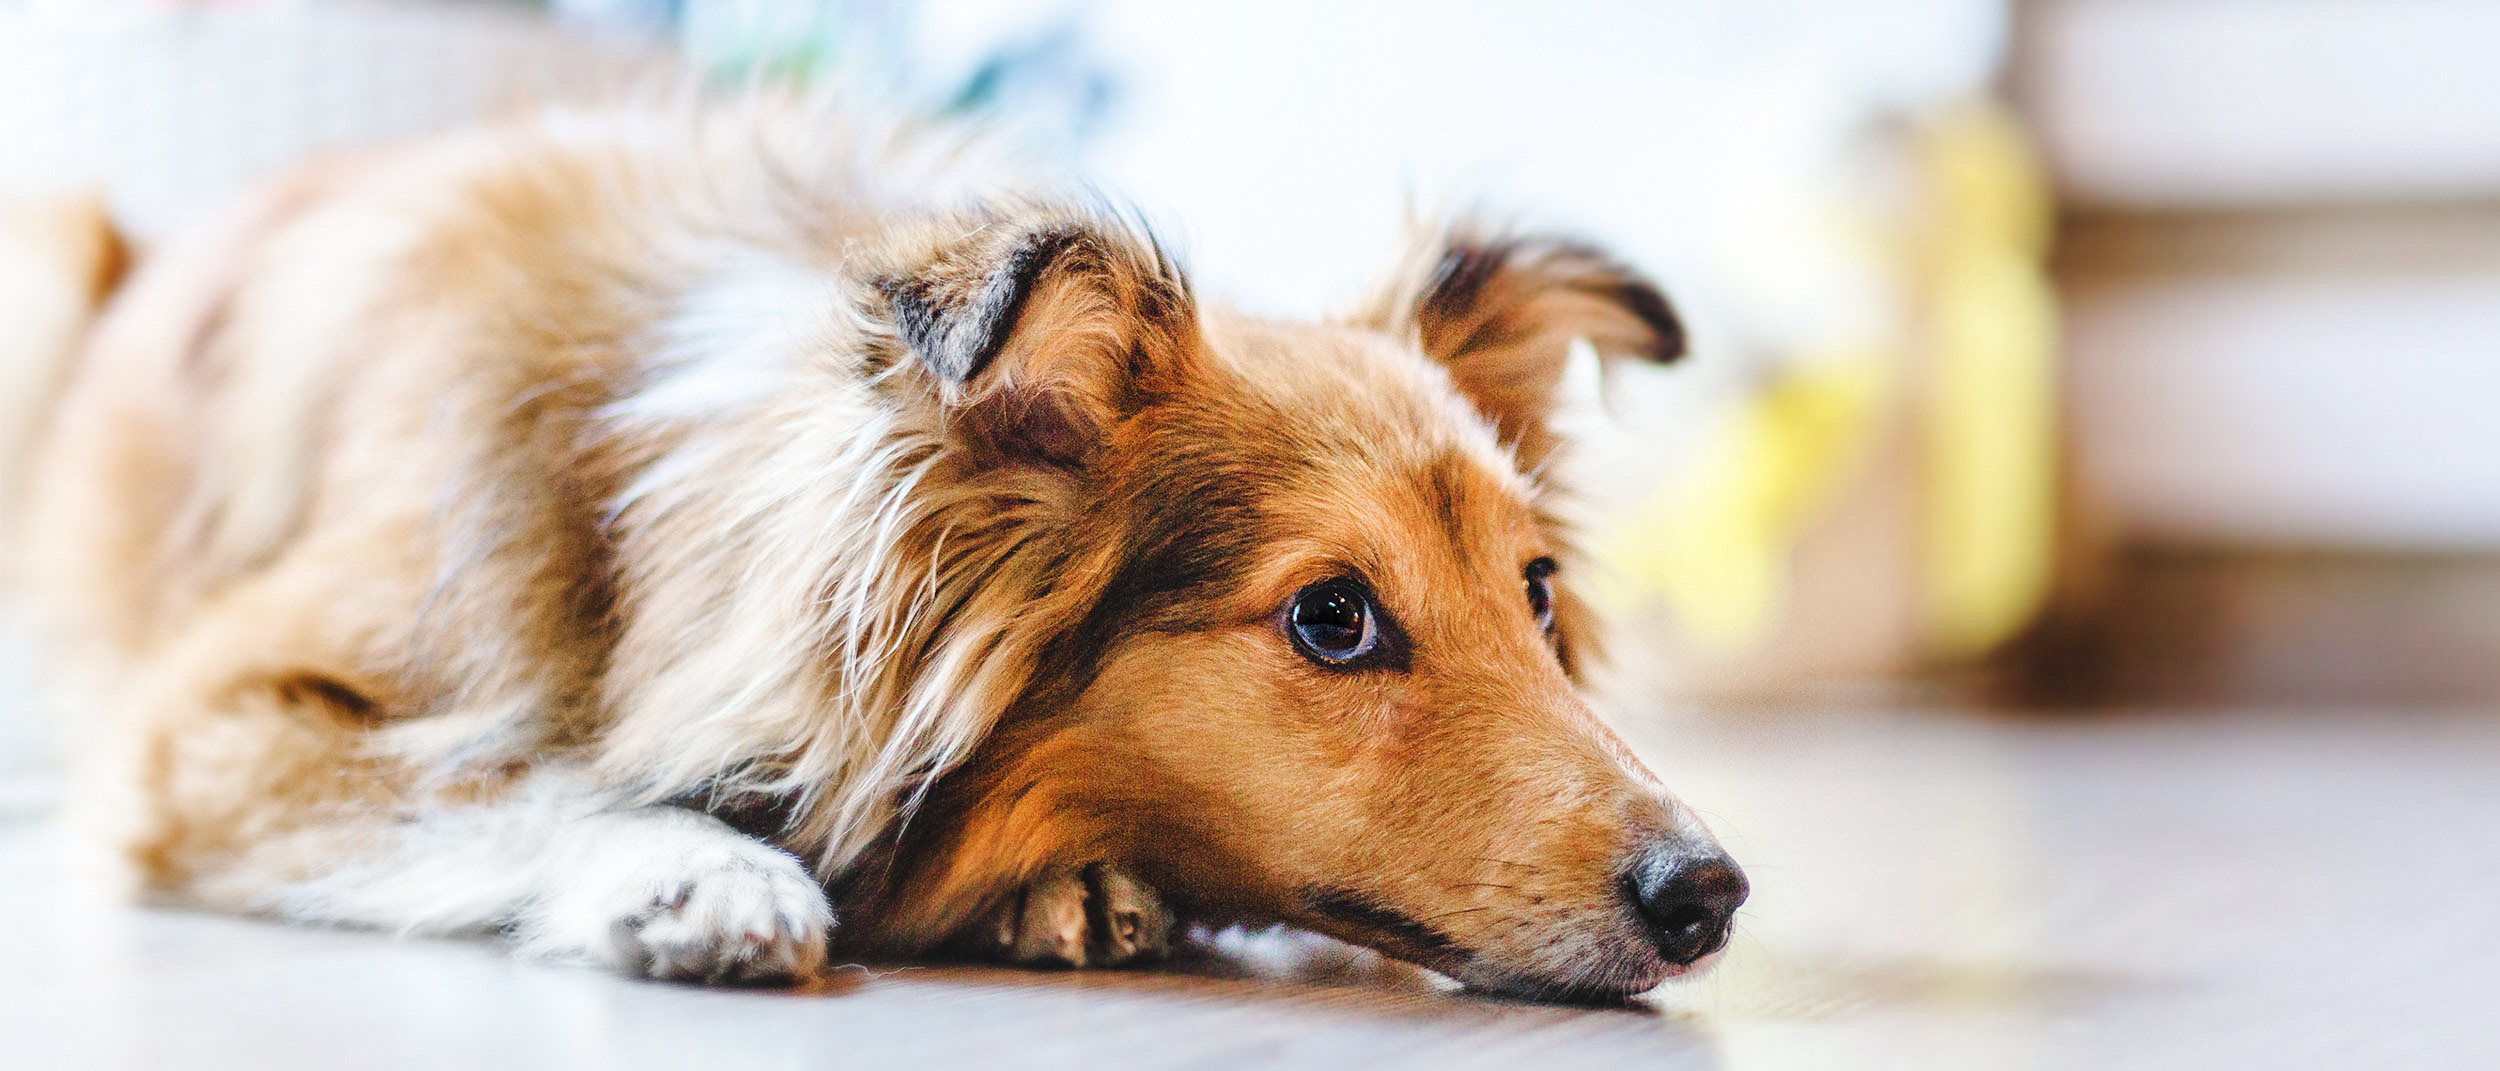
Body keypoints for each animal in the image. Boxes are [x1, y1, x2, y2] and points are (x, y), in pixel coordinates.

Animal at [0, 98, 1750, 1005]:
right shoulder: (204, 723)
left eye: (1536, 591)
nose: (1712, 892)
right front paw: (700, 868)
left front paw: (1073, 887)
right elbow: (512, 774)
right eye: (1333, 616)